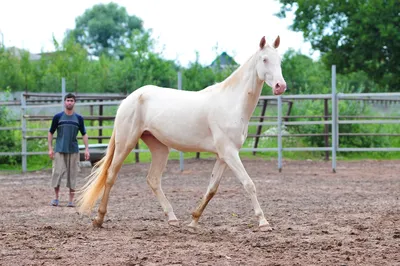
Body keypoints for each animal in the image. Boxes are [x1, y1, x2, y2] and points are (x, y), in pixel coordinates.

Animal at [76, 35, 286, 231]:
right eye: (265, 59)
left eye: (280, 60)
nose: (280, 86)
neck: (231, 103)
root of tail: (130, 98)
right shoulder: (229, 153)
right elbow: (248, 184)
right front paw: (264, 222)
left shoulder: (223, 156)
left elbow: (212, 188)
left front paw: (193, 220)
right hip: (125, 143)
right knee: (111, 175)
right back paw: (98, 219)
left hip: (160, 148)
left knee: (153, 180)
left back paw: (172, 218)